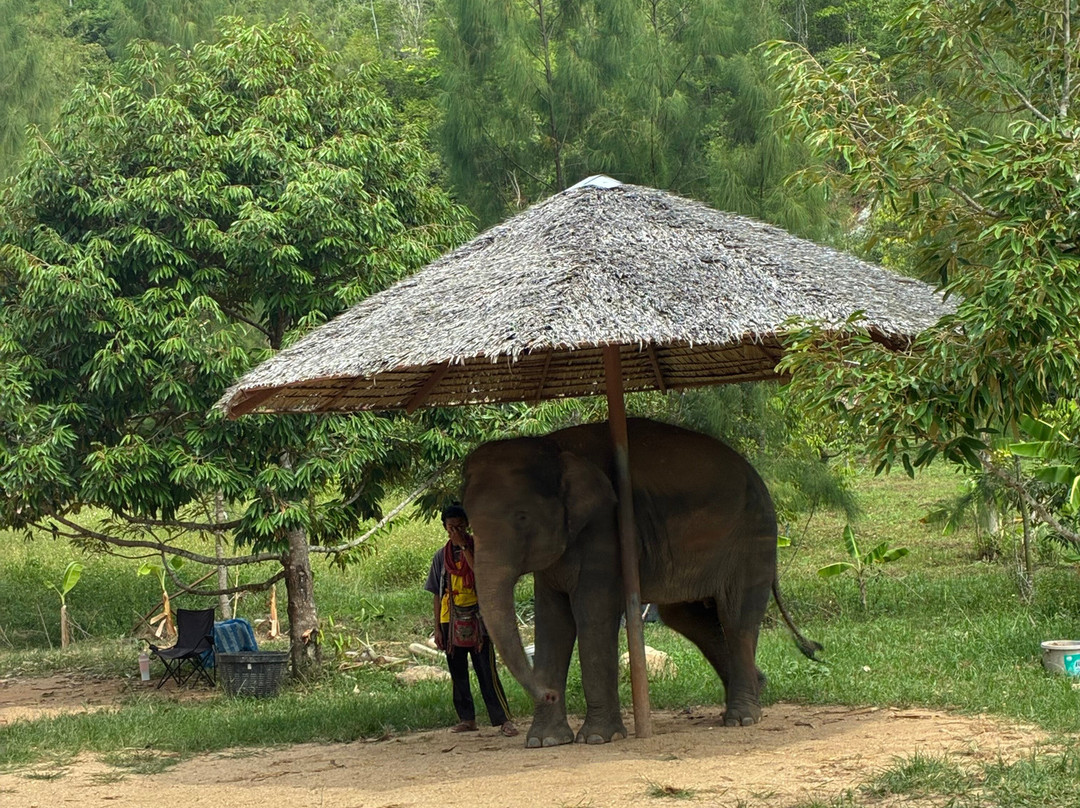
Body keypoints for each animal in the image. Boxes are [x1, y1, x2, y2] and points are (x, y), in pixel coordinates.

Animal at [461, 417, 820, 748]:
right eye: (468, 520)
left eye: (521, 518)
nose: (548, 693)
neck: (555, 448)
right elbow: (553, 622)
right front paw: (545, 742)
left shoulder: (607, 528)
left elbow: (592, 613)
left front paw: (597, 739)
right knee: (687, 618)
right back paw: (756, 689)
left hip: (753, 537)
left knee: (736, 617)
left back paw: (742, 718)